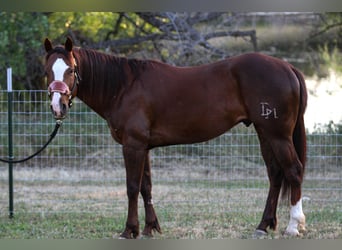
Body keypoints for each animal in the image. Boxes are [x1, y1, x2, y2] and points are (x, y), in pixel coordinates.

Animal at [43, 37, 308, 238]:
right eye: (47, 71)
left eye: (71, 70)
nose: (58, 107)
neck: (124, 86)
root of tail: (288, 68)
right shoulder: (143, 147)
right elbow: (146, 187)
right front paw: (150, 228)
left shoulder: (133, 146)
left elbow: (132, 187)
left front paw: (130, 230)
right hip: (265, 133)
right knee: (275, 174)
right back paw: (263, 226)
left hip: (278, 135)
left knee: (293, 170)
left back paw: (293, 226)